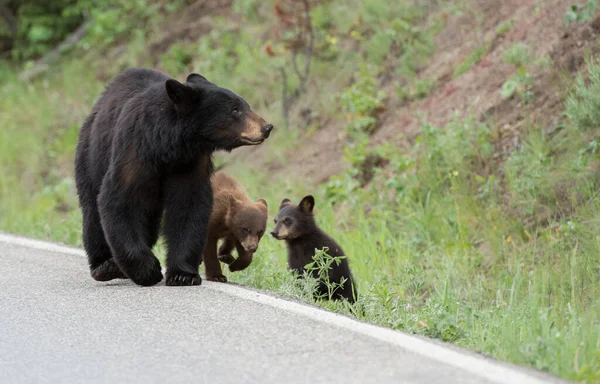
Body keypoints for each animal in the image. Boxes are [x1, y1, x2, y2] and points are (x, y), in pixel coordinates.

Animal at [74, 67, 274, 286]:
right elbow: (119, 200)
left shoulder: (190, 162)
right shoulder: (134, 150)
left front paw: (183, 274)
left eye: (245, 105)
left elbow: (188, 205)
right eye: (235, 109)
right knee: (93, 213)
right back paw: (105, 266)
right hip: (90, 157)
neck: (168, 145)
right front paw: (148, 270)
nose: (267, 127)